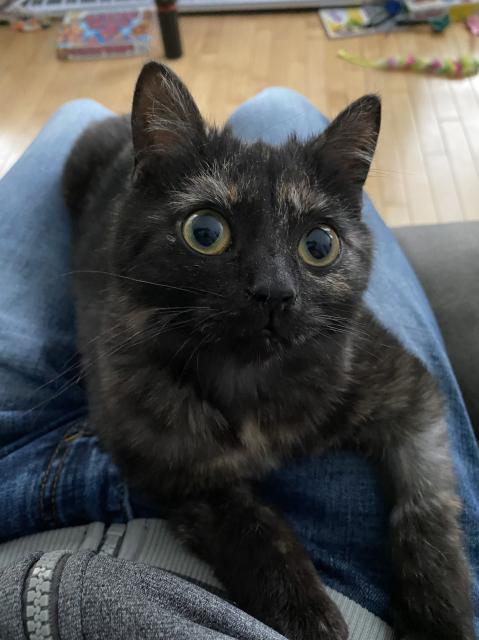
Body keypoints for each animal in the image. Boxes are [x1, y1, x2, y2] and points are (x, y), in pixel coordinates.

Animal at [62, 63, 474, 640]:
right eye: (205, 231)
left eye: (319, 245)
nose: (274, 292)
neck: (249, 380)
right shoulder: (172, 472)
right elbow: (253, 527)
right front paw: (307, 612)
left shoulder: (410, 391)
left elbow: (426, 501)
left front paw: (438, 616)